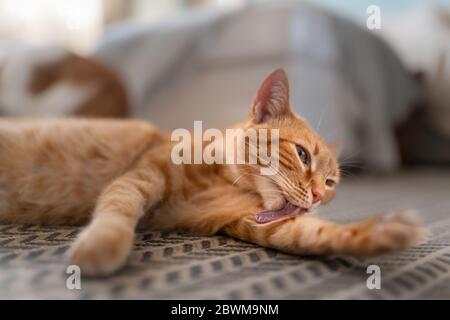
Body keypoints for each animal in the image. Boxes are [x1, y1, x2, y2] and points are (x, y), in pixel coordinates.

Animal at [0, 69, 426, 276]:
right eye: (303, 155)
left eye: (331, 182)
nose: (320, 195)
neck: (223, 177)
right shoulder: (141, 177)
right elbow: (117, 210)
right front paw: (102, 245)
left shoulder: (251, 222)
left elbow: (312, 235)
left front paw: (376, 233)